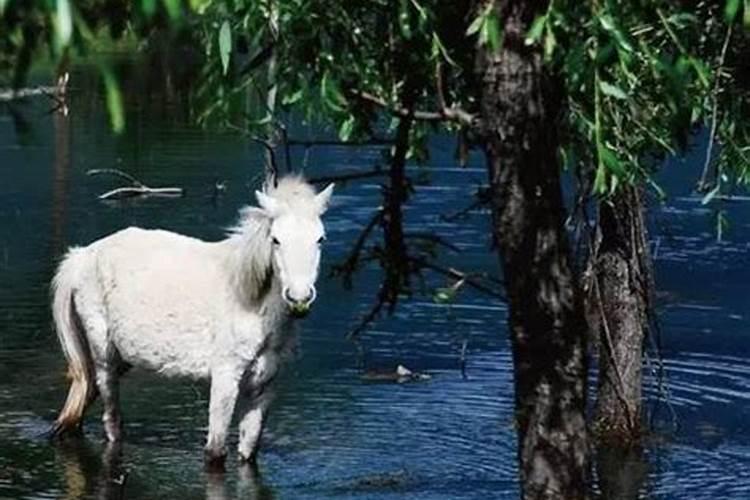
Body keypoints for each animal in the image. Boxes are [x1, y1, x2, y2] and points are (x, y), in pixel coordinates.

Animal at [49, 177, 334, 468]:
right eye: (275, 240)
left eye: (320, 239)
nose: (299, 299)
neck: (251, 303)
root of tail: (82, 256)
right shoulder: (225, 376)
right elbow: (215, 452)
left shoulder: (263, 386)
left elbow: (248, 451)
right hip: (103, 353)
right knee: (112, 421)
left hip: (121, 359)